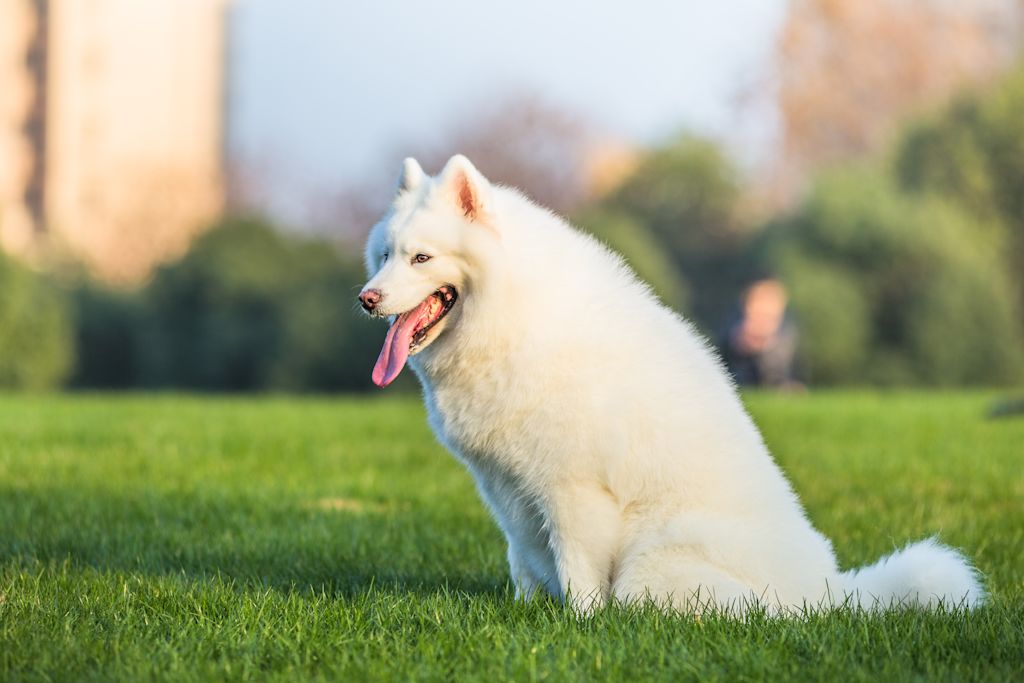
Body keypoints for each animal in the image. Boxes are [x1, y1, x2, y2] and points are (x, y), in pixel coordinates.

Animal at [358, 157, 983, 618]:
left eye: (422, 257)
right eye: (385, 255)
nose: (366, 298)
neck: (512, 316)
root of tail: (831, 595)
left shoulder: (573, 491)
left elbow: (579, 577)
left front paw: (579, 628)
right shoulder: (506, 490)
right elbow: (522, 561)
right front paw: (524, 611)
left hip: (650, 565)